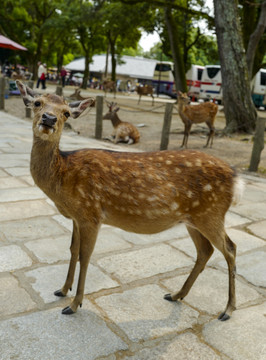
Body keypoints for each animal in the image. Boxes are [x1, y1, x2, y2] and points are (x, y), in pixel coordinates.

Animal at [16, 80, 243, 322]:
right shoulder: (77, 216)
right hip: (194, 218)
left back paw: (228, 309)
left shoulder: (91, 214)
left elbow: (85, 256)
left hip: (212, 213)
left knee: (230, 248)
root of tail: (236, 177)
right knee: (205, 250)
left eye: (66, 112)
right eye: (37, 103)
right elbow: (72, 250)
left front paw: (75, 305)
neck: (63, 176)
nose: (49, 119)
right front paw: (62, 290)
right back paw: (176, 294)